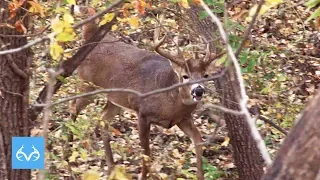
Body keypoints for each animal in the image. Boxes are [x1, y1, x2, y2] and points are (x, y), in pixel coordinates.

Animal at [71, 4, 218, 179]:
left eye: (206, 75)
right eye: (185, 76)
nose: (198, 91)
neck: (169, 102)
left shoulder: (183, 118)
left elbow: (198, 140)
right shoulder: (142, 113)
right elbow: (146, 155)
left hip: (115, 99)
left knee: (103, 119)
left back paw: (111, 167)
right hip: (87, 84)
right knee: (73, 107)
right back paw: (68, 151)